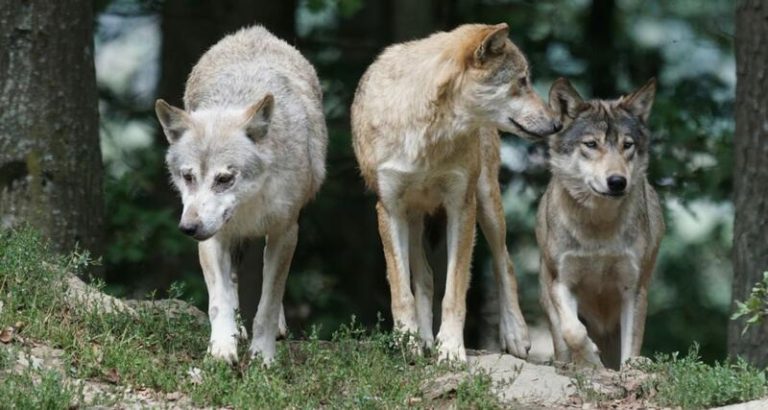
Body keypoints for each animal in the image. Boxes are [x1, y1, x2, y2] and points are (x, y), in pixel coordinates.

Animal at [154, 26, 327, 365]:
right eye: (188, 177)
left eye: (224, 179)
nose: (188, 228)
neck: (249, 205)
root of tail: (254, 31)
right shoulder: (212, 238)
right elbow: (219, 301)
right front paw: (222, 349)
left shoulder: (286, 232)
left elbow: (268, 304)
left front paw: (263, 357)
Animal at [351, 23, 561, 361]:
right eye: (522, 81)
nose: (557, 124)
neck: (427, 133)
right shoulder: (389, 209)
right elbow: (402, 291)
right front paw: (408, 342)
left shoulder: (461, 206)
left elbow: (454, 291)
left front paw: (450, 348)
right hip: (413, 217)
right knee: (424, 277)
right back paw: (423, 339)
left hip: (487, 203)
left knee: (505, 263)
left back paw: (515, 334)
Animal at [537, 78, 665, 369]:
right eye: (591, 144)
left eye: (627, 145)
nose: (617, 181)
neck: (598, 227)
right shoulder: (561, 282)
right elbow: (573, 331)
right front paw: (590, 360)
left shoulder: (633, 289)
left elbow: (631, 347)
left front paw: (628, 367)